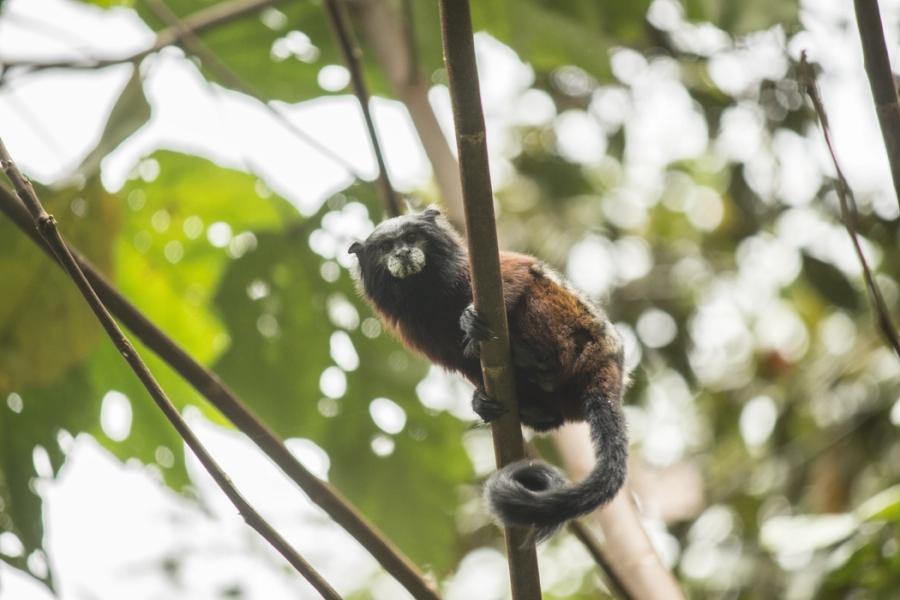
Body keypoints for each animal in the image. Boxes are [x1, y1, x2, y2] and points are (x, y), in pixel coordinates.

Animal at [348, 207, 628, 541]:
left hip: (571, 326)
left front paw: (470, 319)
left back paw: (536, 360)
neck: (428, 292)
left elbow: (521, 272)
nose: (402, 252)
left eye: (412, 237)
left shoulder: (480, 268)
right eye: (387, 247)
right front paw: (479, 401)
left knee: (535, 290)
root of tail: (609, 364)